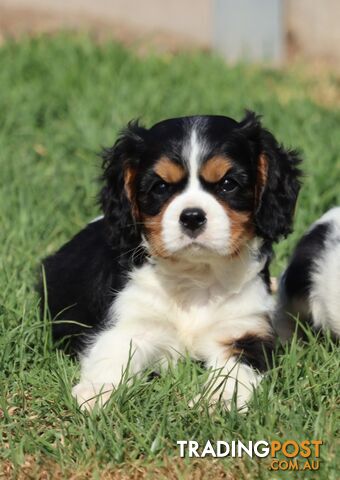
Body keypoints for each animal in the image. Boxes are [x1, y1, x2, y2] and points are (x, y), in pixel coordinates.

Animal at [40, 112, 302, 408]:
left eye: (228, 184)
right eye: (161, 187)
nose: (192, 217)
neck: (196, 274)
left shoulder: (243, 331)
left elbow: (236, 370)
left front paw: (219, 400)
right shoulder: (131, 320)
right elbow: (113, 350)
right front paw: (97, 390)